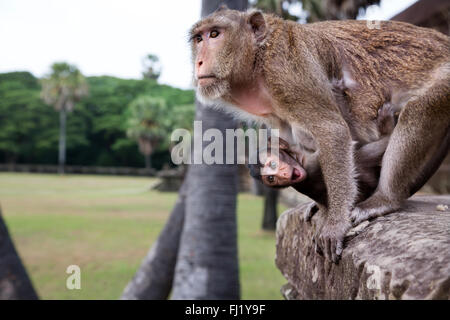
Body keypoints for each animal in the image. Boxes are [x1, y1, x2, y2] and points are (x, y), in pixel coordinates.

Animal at [191, 7, 450, 262]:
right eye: (198, 39)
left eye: (214, 34)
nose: (199, 62)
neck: (259, 56)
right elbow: (288, 137)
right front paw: (322, 205)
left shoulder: (288, 71)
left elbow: (332, 131)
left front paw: (335, 223)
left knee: (417, 110)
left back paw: (385, 199)